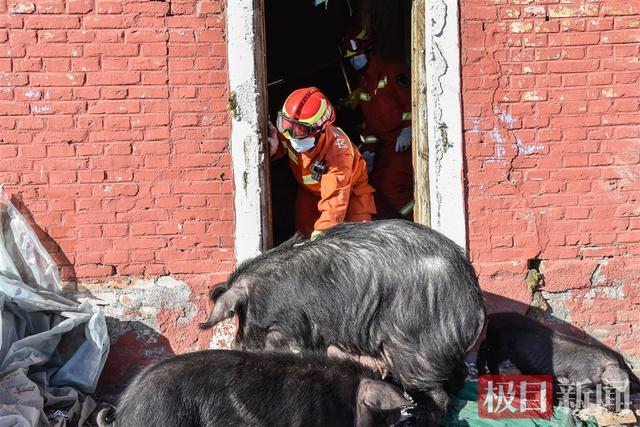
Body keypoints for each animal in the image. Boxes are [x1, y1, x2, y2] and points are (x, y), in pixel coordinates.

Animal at [200, 219, 484, 426]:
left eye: (244, 321)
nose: (237, 345)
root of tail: (473, 296)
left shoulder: (289, 328)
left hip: (412, 347)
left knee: (436, 397)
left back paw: (415, 420)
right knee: (456, 380)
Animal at [478, 310, 636, 394]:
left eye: (625, 366)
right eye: (620, 367)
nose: (628, 387)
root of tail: (493, 316)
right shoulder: (582, 376)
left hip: (491, 341)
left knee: (482, 350)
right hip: (501, 346)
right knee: (490, 359)